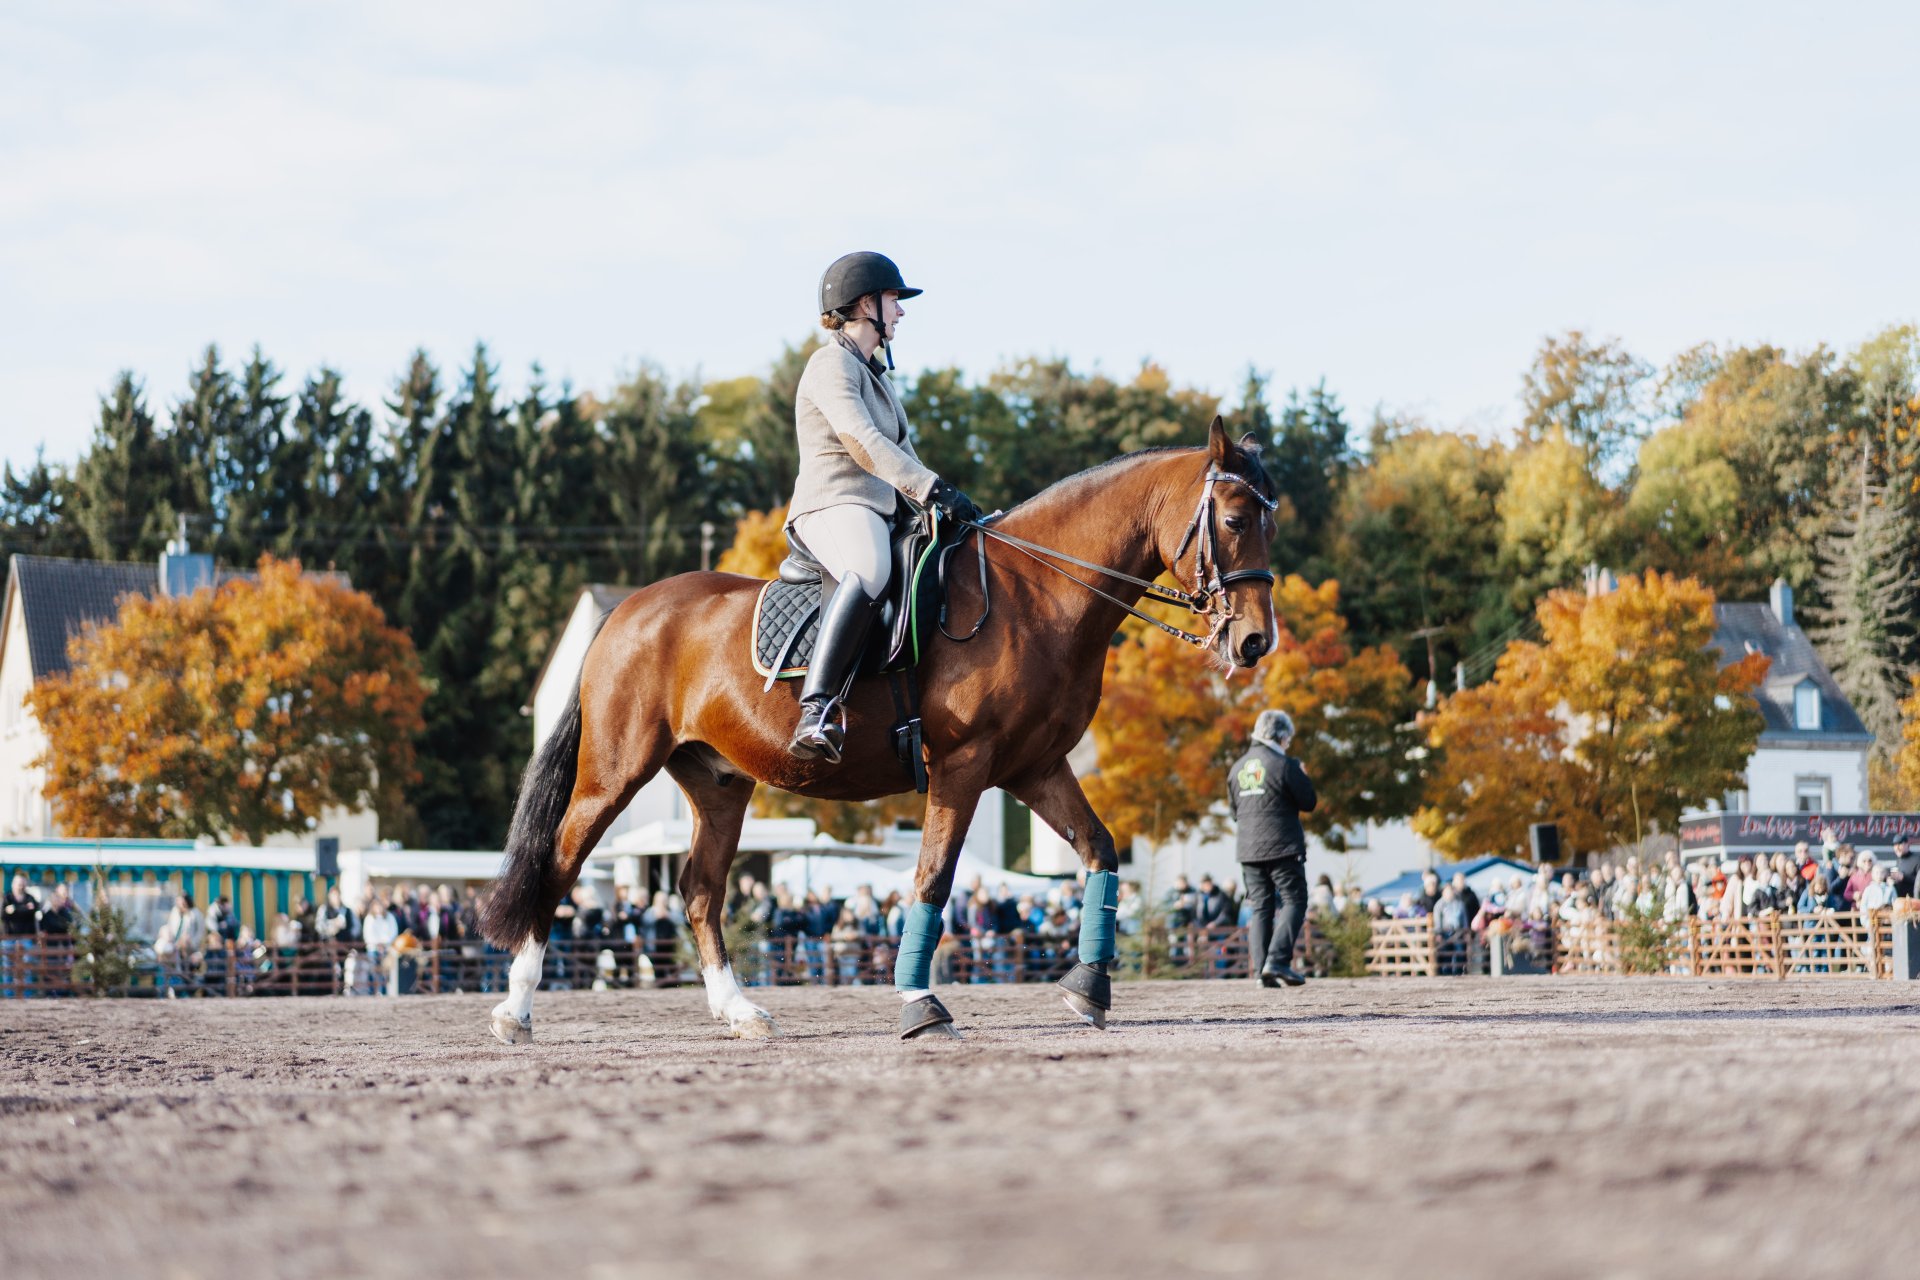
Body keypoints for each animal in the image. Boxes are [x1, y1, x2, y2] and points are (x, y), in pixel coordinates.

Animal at [478, 416, 1280, 1042]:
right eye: (1236, 520)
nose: (1254, 643)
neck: (1037, 594)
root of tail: (626, 611)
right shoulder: (964, 766)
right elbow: (932, 879)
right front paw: (921, 1005)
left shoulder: (1035, 767)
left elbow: (1100, 851)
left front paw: (1089, 990)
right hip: (615, 772)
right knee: (560, 863)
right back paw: (517, 1010)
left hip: (718, 784)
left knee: (701, 890)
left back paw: (739, 1012)